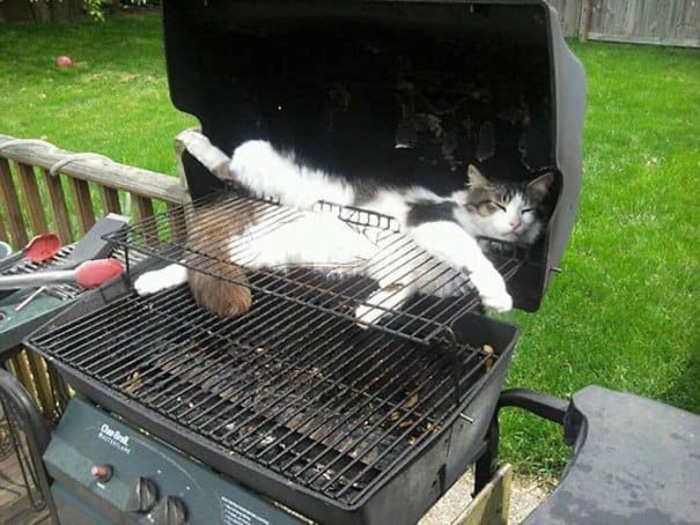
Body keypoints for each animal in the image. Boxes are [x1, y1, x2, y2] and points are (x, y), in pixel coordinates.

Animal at [137, 141, 552, 326]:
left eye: (527, 209)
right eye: (498, 205)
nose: (515, 223)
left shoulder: (407, 276)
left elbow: (397, 291)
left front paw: (369, 311)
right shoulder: (431, 220)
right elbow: (474, 257)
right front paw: (497, 294)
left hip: (257, 251)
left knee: (201, 262)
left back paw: (149, 281)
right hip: (261, 164)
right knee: (229, 163)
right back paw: (196, 142)